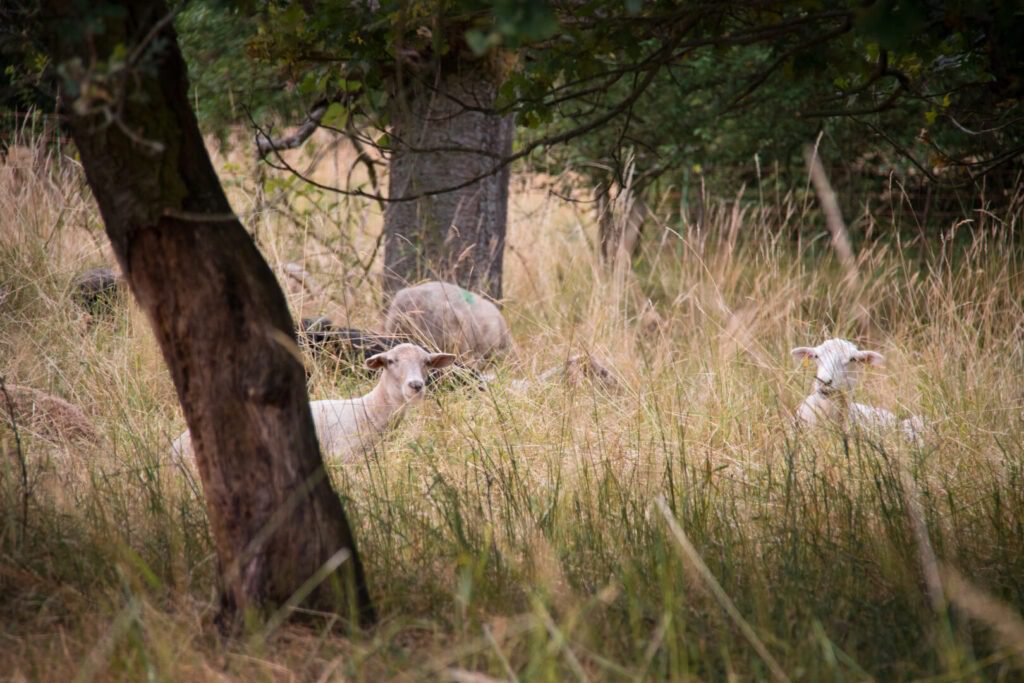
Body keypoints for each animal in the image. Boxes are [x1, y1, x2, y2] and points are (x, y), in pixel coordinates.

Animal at [171, 343, 455, 463]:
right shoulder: (343, 457)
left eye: (427, 362)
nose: (416, 386)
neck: (369, 411)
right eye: (391, 361)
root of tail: (173, 447)